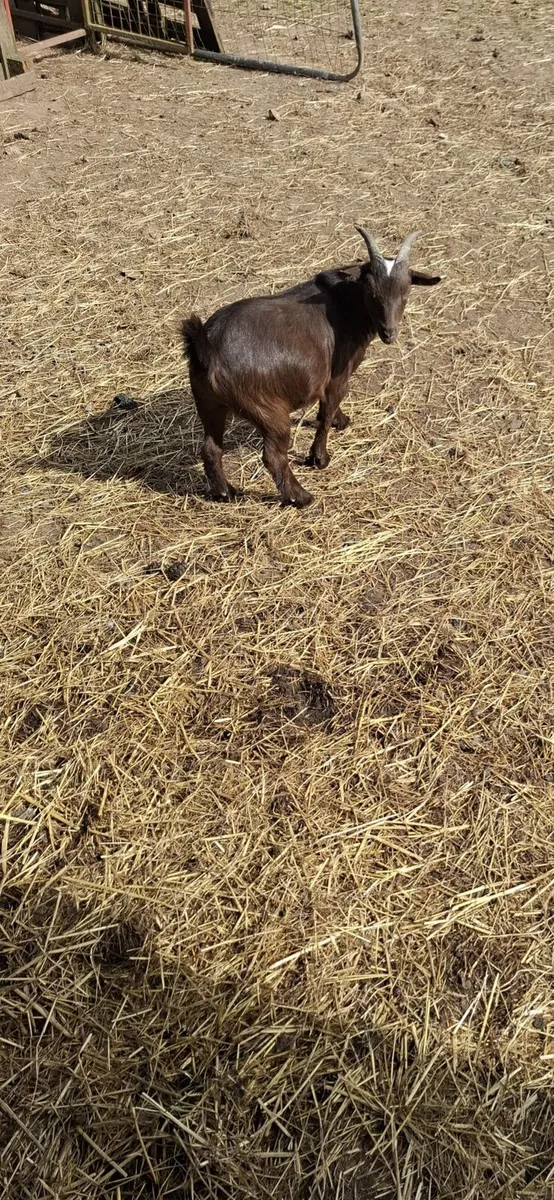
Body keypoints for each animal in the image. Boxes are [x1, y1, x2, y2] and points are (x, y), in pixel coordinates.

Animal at [182, 227, 440, 507]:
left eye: (405, 293)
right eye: (372, 293)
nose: (389, 333)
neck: (345, 305)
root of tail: (208, 347)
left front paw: (342, 420)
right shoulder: (337, 377)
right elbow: (325, 415)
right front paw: (320, 458)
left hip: (209, 403)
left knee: (211, 448)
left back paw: (225, 492)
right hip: (267, 410)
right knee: (273, 456)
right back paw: (301, 496)